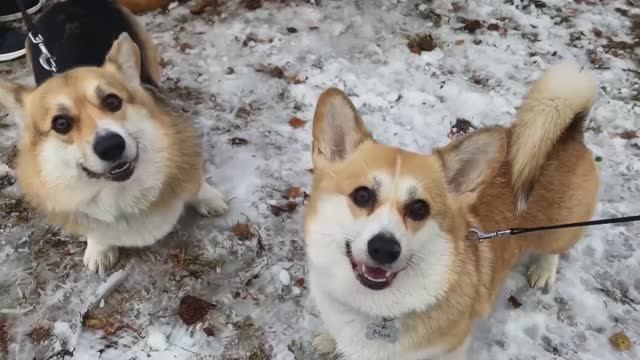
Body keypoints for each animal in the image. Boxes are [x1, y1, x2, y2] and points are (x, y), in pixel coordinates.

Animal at [0, 0, 229, 272]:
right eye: (61, 123)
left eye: (112, 101)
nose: (110, 146)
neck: (121, 192)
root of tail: (66, 3)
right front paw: (100, 249)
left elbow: (195, 184)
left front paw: (209, 199)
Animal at [304, 62, 600, 360]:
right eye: (362, 195)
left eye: (419, 208)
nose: (385, 249)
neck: (376, 307)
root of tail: (569, 133)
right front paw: (330, 339)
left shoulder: (451, 348)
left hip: (558, 230)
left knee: (555, 246)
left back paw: (543, 269)